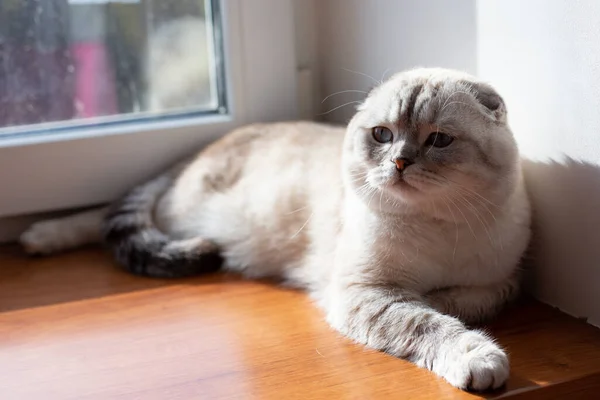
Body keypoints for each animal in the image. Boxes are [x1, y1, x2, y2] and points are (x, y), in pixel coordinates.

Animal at [21, 68, 532, 390]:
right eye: (382, 135)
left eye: (439, 141)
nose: (400, 163)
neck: (435, 224)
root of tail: (196, 151)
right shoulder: (365, 291)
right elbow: (428, 323)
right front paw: (478, 358)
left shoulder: (500, 282)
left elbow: (460, 302)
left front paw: (444, 303)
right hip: (182, 213)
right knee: (106, 215)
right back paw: (37, 237)